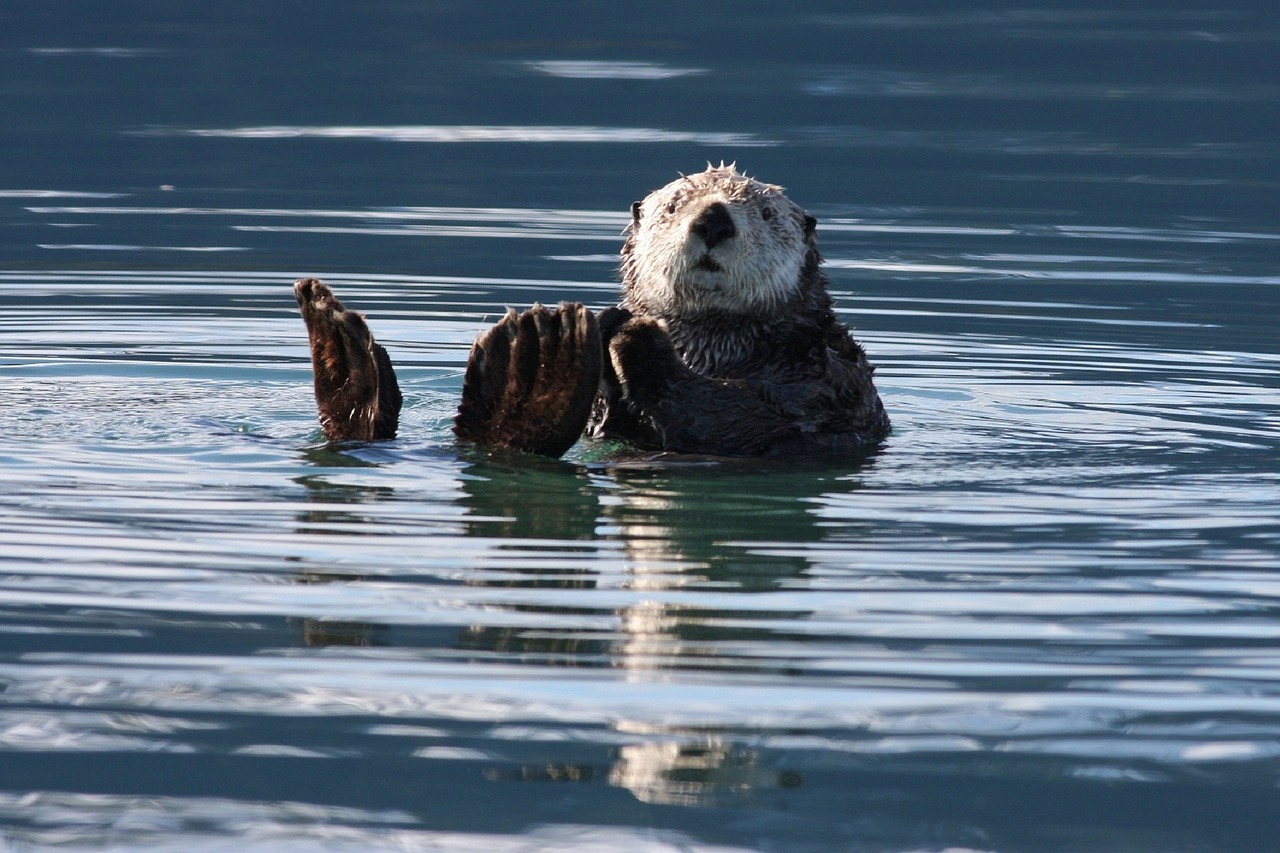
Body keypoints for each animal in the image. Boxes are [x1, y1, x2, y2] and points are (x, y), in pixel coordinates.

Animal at [295, 166, 890, 458]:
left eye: (765, 213)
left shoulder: (828, 380)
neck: (712, 348)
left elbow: (748, 420)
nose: (714, 219)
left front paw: (637, 335)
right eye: (674, 206)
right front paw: (616, 323)